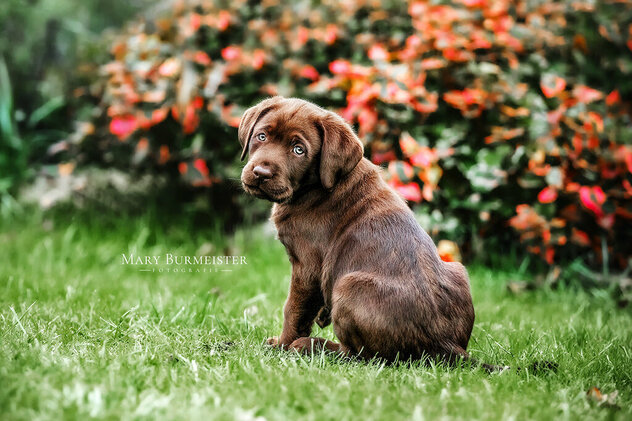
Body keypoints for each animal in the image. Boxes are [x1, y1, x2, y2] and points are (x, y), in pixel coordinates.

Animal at [238, 97, 474, 362]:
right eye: (262, 136)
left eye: (298, 150)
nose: (260, 173)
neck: (316, 186)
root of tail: (446, 344)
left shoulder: (307, 267)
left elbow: (293, 309)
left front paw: (281, 344)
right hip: (457, 268)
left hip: (349, 285)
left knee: (359, 355)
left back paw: (312, 346)